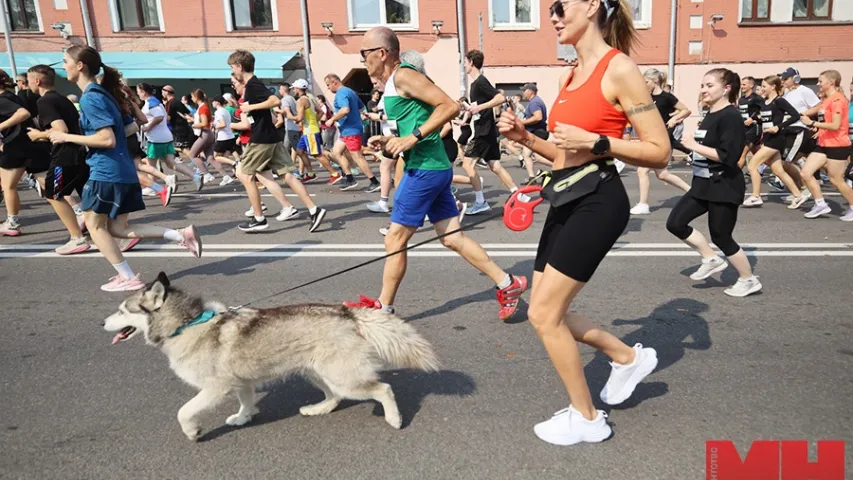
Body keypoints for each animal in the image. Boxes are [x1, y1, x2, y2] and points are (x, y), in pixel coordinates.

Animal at [101, 272, 440, 440]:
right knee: (334, 397)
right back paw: (318, 409)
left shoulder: (216, 387)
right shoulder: (241, 381)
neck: (187, 323)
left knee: (383, 389)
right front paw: (244, 417)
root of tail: (347, 312)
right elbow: (246, 401)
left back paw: (394, 418)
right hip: (316, 371)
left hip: (343, 376)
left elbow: (184, 411)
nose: (101, 323)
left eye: (122, 311)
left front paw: (193, 431)